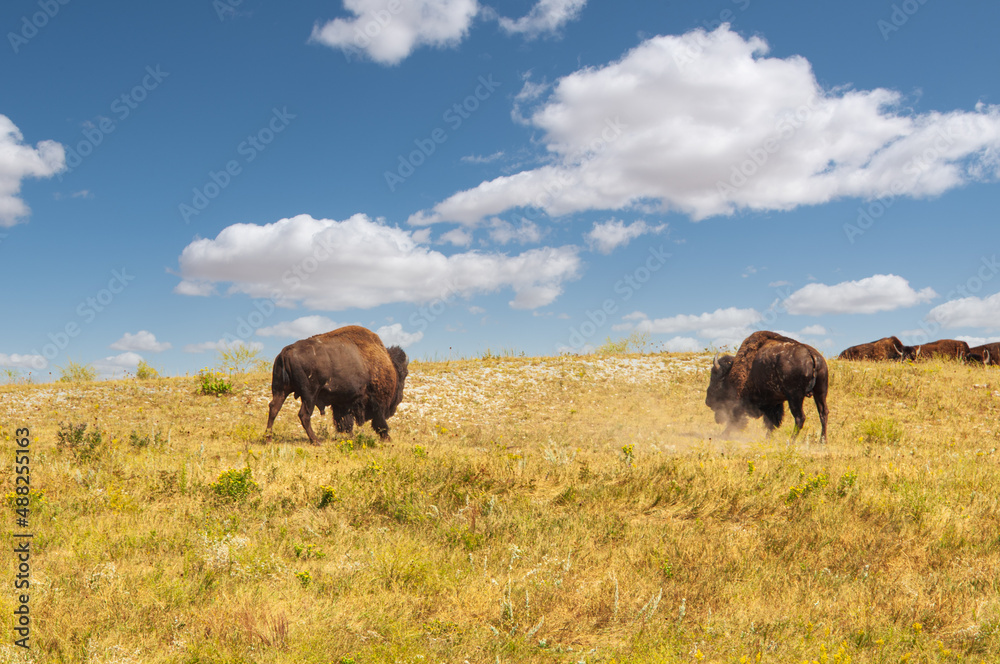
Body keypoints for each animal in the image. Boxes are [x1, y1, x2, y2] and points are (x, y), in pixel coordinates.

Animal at [266, 326, 410, 446]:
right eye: (404, 374)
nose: (400, 398)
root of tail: (286, 352)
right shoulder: (376, 402)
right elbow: (379, 422)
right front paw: (387, 438)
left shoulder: (342, 403)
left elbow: (345, 422)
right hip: (309, 395)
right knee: (304, 415)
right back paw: (316, 441)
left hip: (281, 389)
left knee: (274, 408)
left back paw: (268, 439)